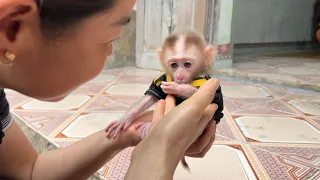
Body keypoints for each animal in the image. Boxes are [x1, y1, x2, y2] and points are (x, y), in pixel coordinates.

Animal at [106, 30, 224, 170]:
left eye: (187, 64)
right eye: (174, 65)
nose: (179, 76)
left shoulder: (206, 81)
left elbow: (217, 101)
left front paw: (179, 88)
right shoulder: (162, 78)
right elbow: (152, 95)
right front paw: (125, 119)